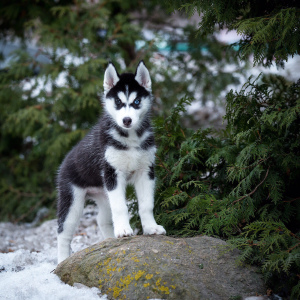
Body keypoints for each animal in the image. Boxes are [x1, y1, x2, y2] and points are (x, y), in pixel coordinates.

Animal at [56, 61, 166, 262]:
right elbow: (121, 207)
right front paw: (123, 230)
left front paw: (151, 228)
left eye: (136, 102)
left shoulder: (146, 171)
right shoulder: (112, 173)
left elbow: (146, 205)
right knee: (63, 231)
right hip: (72, 199)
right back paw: (62, 260)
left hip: (104, 194)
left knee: (102, 219)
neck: (130, 138)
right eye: (118, 102)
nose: (127, 120)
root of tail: (64, 161)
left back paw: (109, 241)